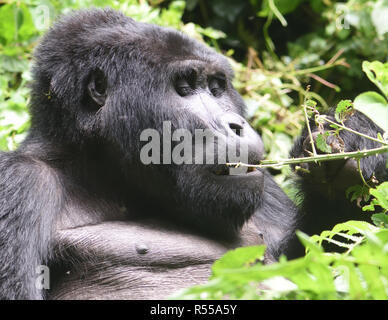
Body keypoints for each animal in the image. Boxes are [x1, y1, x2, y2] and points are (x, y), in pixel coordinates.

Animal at [0, 8, 386, 300]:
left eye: (216, 88)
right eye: (184, 88)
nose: (236, 125)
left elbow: (315, 260)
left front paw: (350, 147)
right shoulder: (19, 183)